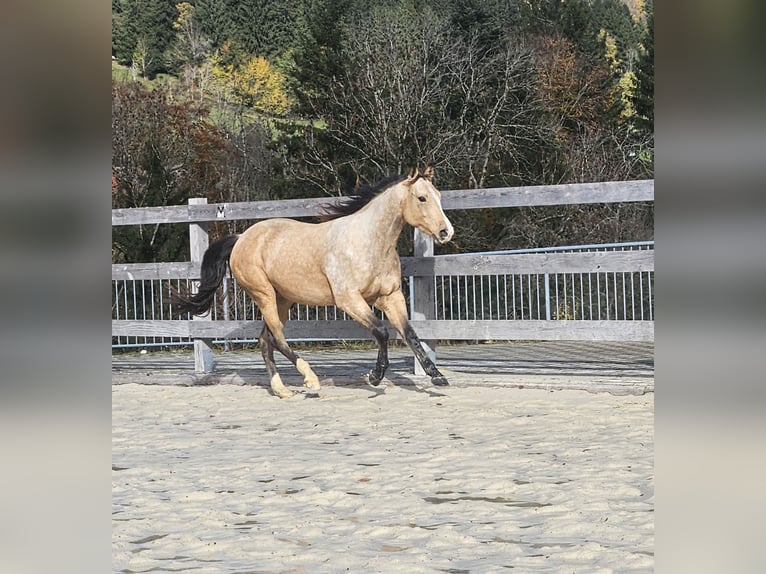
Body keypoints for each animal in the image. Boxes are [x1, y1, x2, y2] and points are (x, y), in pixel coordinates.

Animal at [172, 166, 454, 398]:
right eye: (422, 198)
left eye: (439, 195)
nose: (446, 232)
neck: (368, 242)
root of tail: (241, 238)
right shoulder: (348, 299)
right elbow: (381, 331)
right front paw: (375, 377)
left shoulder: (390, 296)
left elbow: (410, 333)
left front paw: (437, 376)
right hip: (263, 294)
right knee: (278, 338)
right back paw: (310, 380)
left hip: (283, 299)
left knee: (266, 339)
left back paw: (282, 390)